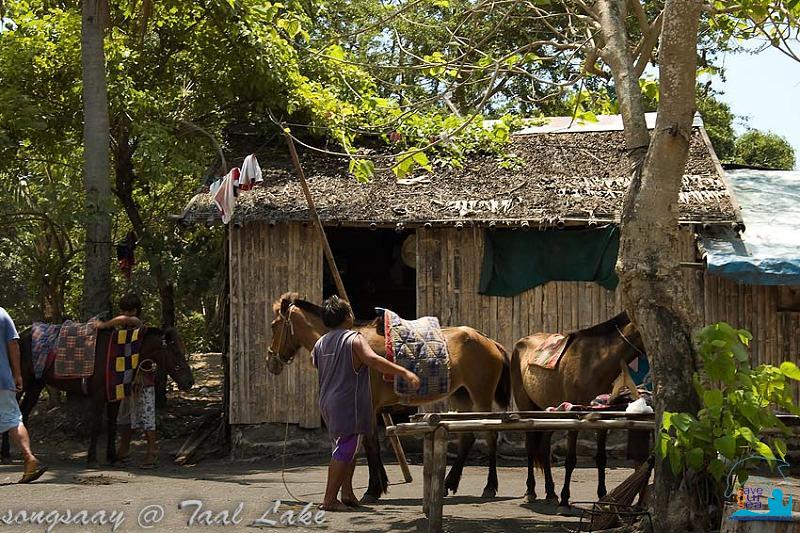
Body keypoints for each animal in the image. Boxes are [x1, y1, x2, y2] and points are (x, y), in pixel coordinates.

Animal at [1, 326, 195, 464]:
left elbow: (112, 425)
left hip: (35, 386)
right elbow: (96, 425)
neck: (120, 353)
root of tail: (17, 338)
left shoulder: (114, 396)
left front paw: (112, 456)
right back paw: (6, 452)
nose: (190, 381)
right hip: (20, 385)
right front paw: (92, 457)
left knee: (24, 414)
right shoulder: (99, 395)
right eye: (176, 352)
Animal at [266, 294, 510, 500]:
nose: (271, 362)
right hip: (462, 396)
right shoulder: (370, 408)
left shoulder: (369, 407)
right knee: (467, 437)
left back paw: (490, 486)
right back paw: (449, 483)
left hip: (481, 397)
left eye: (273, 326)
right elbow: (370, 443)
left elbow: (370, 445)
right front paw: (379, 484)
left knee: (491, 435)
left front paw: (373, 489)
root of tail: (490, 341)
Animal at [512, 312, 648, 512]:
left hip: (548, 411)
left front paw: (602, 497)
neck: (593, 363)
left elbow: (601, 458)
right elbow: (570, 459)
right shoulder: (573, 417)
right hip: (526, 408)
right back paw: (531, 491)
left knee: (544, 447)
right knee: (530, 446)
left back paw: (550, 493)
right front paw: (565, 501)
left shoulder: (602, 417)